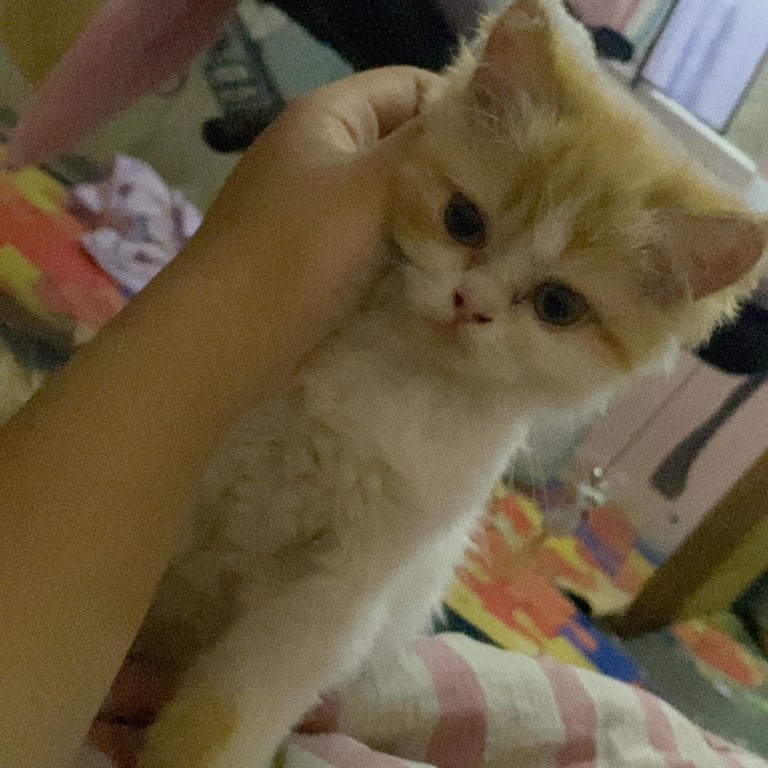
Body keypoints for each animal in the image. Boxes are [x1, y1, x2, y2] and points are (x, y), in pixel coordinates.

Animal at [134, 1, 766, 766]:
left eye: (559, 305)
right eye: (463, 221)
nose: (472, 303)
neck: (390, 373)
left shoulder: (327, 603)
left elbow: (221, 722)